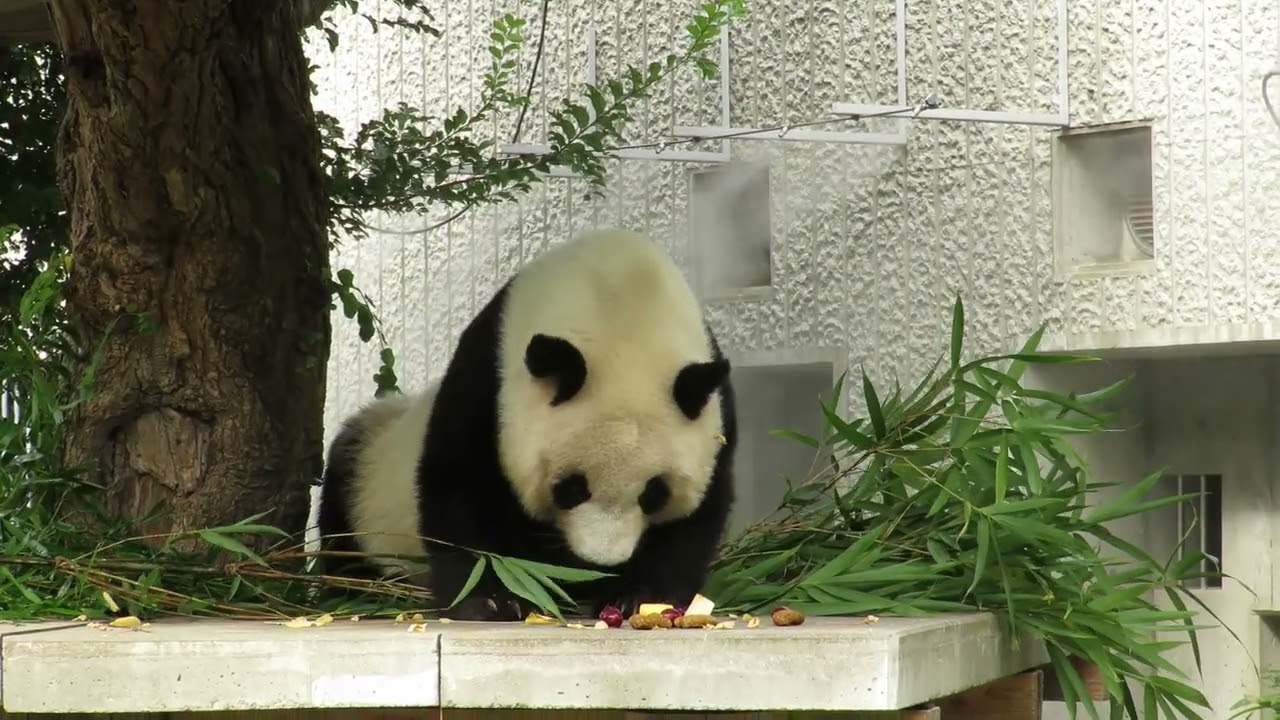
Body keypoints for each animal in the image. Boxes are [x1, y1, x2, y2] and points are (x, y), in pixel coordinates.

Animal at [317, 227, 738, 622]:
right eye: (571, 488)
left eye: (654, 493)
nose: (599, 562)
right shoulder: (487, 378)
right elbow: (461, 488)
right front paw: (490, 600)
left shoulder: (716, 414)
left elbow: (694, 522)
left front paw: (637, 597)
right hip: (363, 477)